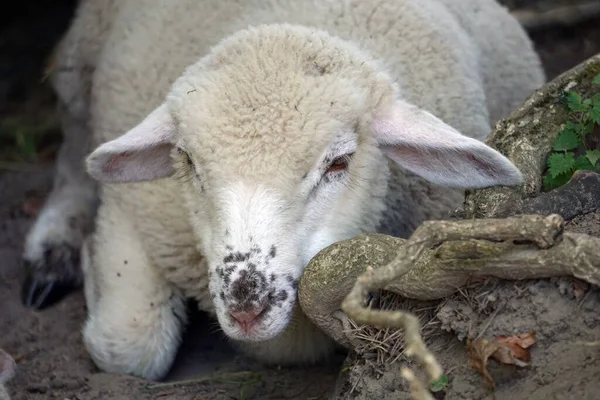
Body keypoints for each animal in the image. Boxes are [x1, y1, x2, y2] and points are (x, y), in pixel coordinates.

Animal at [23, 0, 548, 382]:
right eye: (187, 161)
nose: (246, 306)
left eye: (339, 162)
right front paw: (85, 261)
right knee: (73, 154)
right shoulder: (133, 210)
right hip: (79, 64)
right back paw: (52, 251)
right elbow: (129, 348)